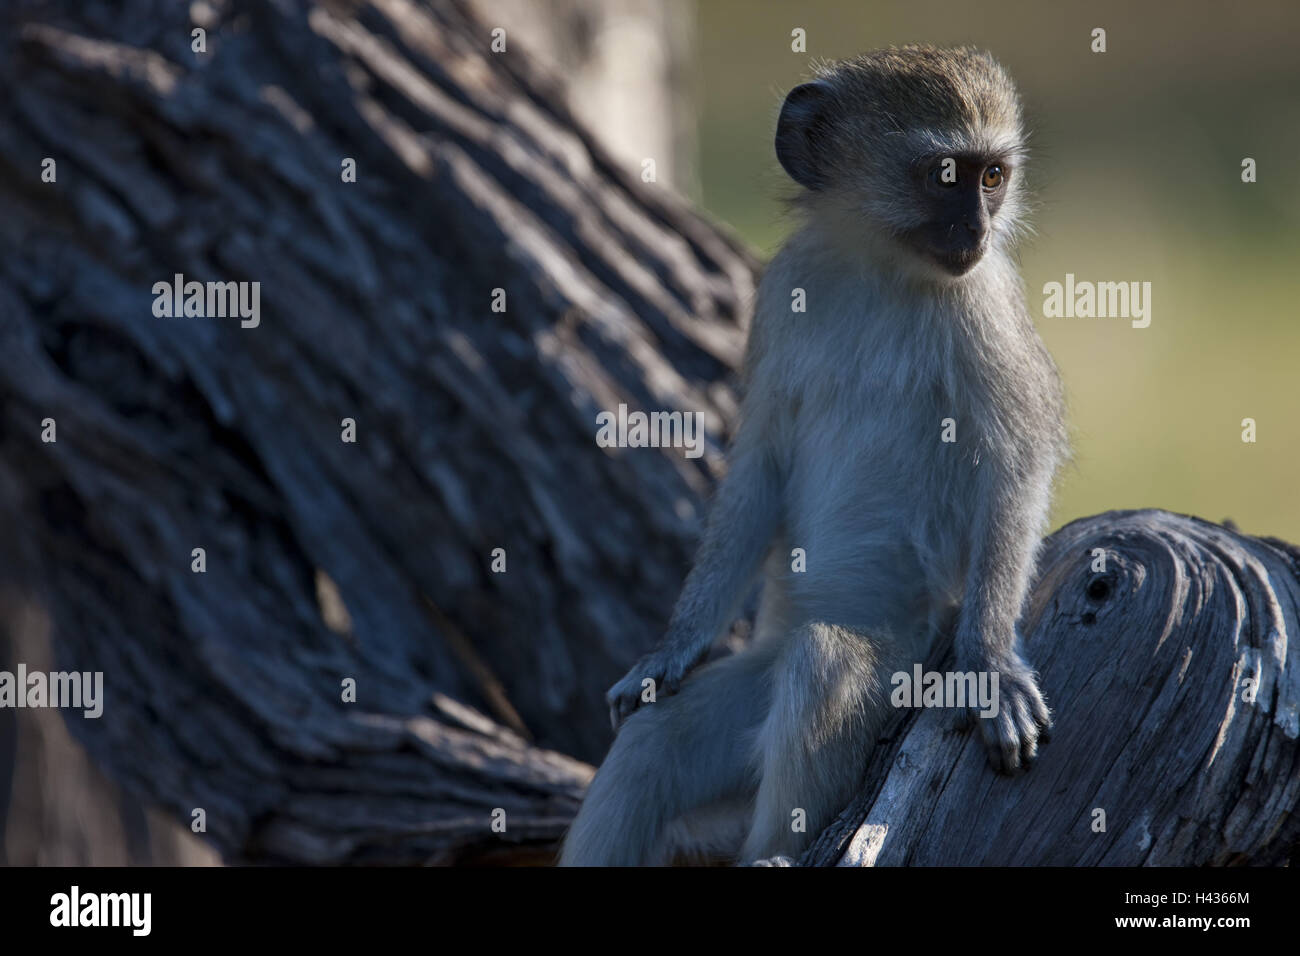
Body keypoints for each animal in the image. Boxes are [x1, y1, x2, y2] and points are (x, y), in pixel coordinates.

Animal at [559, 44, 1066, 868]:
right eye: (946, 177)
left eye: (992, 177)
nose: (978, 229)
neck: (877, 266)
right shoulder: (781, 288)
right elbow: (761, 464)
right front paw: (669, 650)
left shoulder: (982, 303)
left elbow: (1018, 453)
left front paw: (991, 663)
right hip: (752, 690)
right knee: (651, 743)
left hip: (908, 657)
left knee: (824, 666)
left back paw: (777, 850)